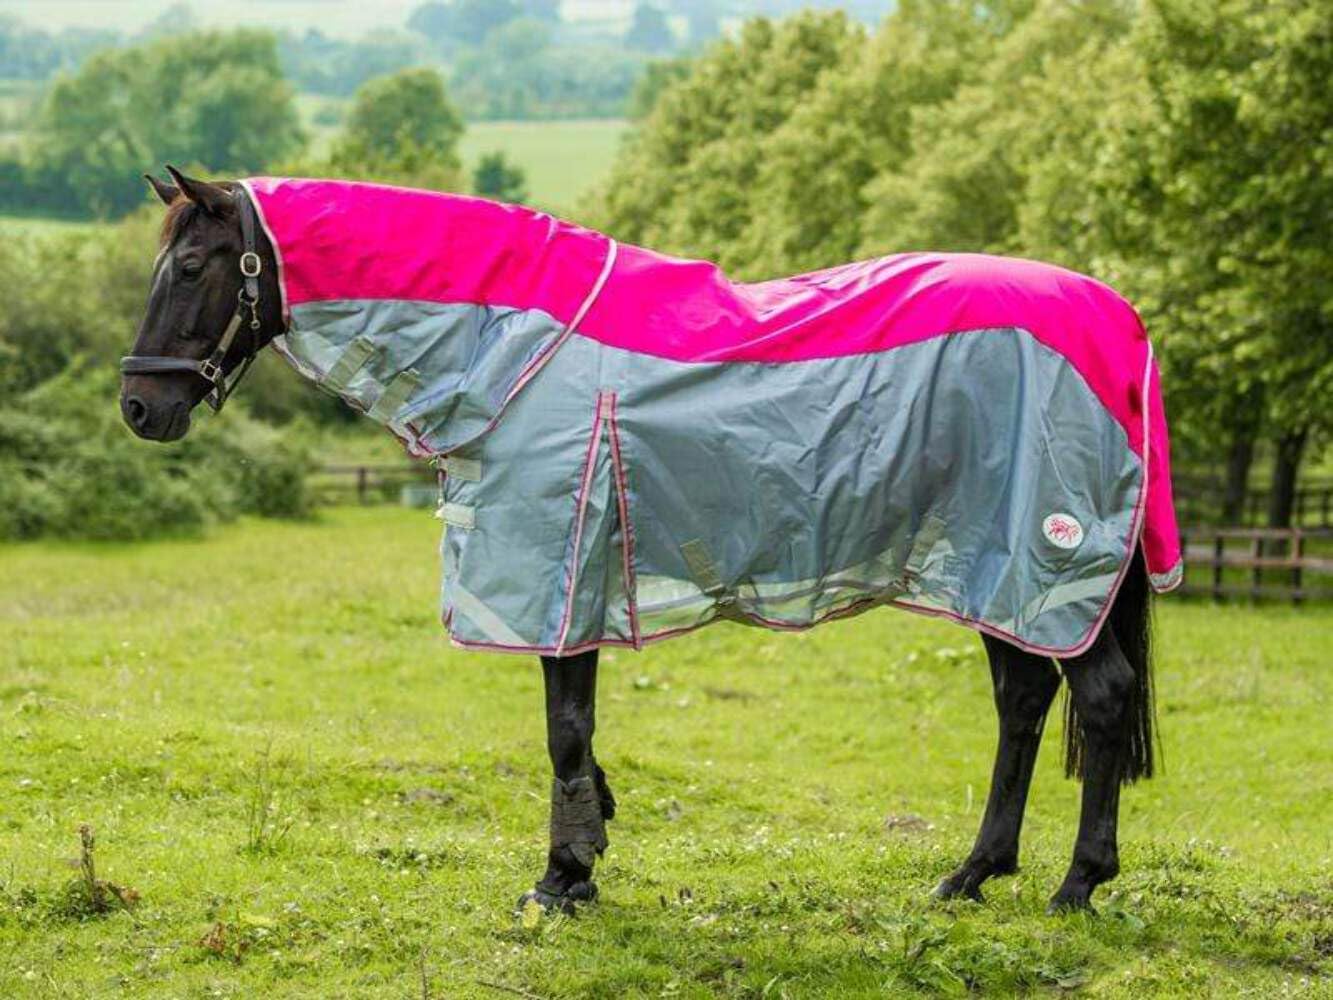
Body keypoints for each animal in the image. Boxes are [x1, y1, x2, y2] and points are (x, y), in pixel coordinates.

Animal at [121, 167, 1183, 915]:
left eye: (189, 269)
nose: (140, 407)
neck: (513, 351)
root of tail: (1118, 324)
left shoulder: (556, 566)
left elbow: (563, 726)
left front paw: (562, 878)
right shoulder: (574, 578)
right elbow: (577, 733)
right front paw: (587, 847)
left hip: (1048, 562)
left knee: (1096, 698)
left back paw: (1077, 885)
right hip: (991, 571)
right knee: (1022, 701)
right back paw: (972, 874)